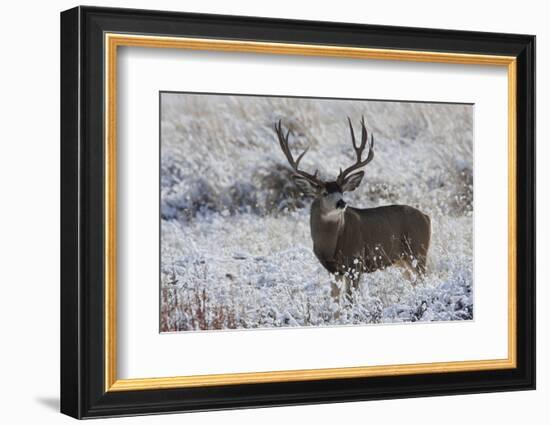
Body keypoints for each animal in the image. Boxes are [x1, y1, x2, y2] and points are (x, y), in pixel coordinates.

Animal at [274, 117, 434, 302]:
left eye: (342, 191)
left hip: (418, 250)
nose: (341, 203)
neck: (330, 245)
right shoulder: (333, 270)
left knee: (424, 278)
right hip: (401, 260)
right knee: (414, 281)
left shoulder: (355, 263)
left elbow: (350, 300)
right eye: (324, 193)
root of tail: (426, 217)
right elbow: (335, 301)